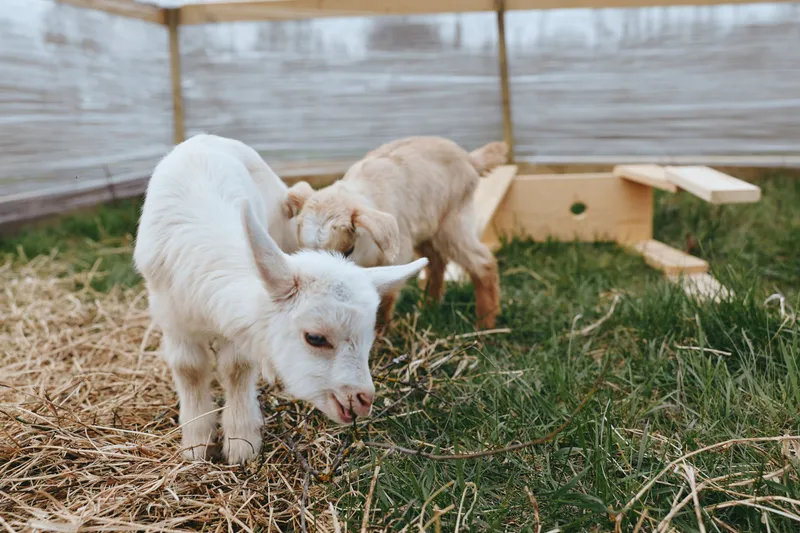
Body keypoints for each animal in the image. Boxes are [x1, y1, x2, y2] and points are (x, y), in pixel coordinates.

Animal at [133, 134, 427, 464]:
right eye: (315, 338)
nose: (363, 399)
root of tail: (204, 137)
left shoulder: (239, 323)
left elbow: (236, 368)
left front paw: (241, 442)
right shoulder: (172, 320)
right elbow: (190, 369)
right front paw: (196, 445)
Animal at [287, 136, 507, 329]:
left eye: (348, 250)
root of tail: (470, 159)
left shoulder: (396, 257)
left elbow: (384, 297)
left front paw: (381, 331)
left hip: (452, 222)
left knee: (483, 263)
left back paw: (485, 324)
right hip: (425, 229)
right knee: (437, 262)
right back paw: (428, 306)